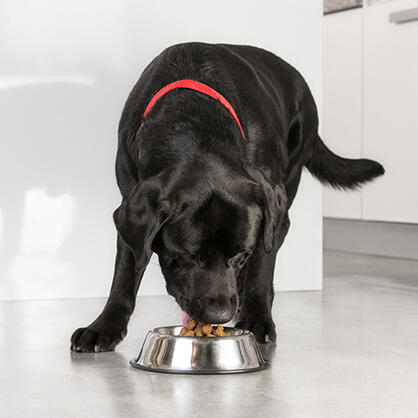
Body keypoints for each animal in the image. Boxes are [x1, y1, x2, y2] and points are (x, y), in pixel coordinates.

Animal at [70, 42, 384, 352]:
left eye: (241, 255)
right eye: (188, 256)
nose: (220, 314)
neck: (194, 128)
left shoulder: (269, 209)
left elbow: (260, 267)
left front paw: (258, 320)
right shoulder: (130, 202)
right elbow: (125, 272)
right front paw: (103, 327)